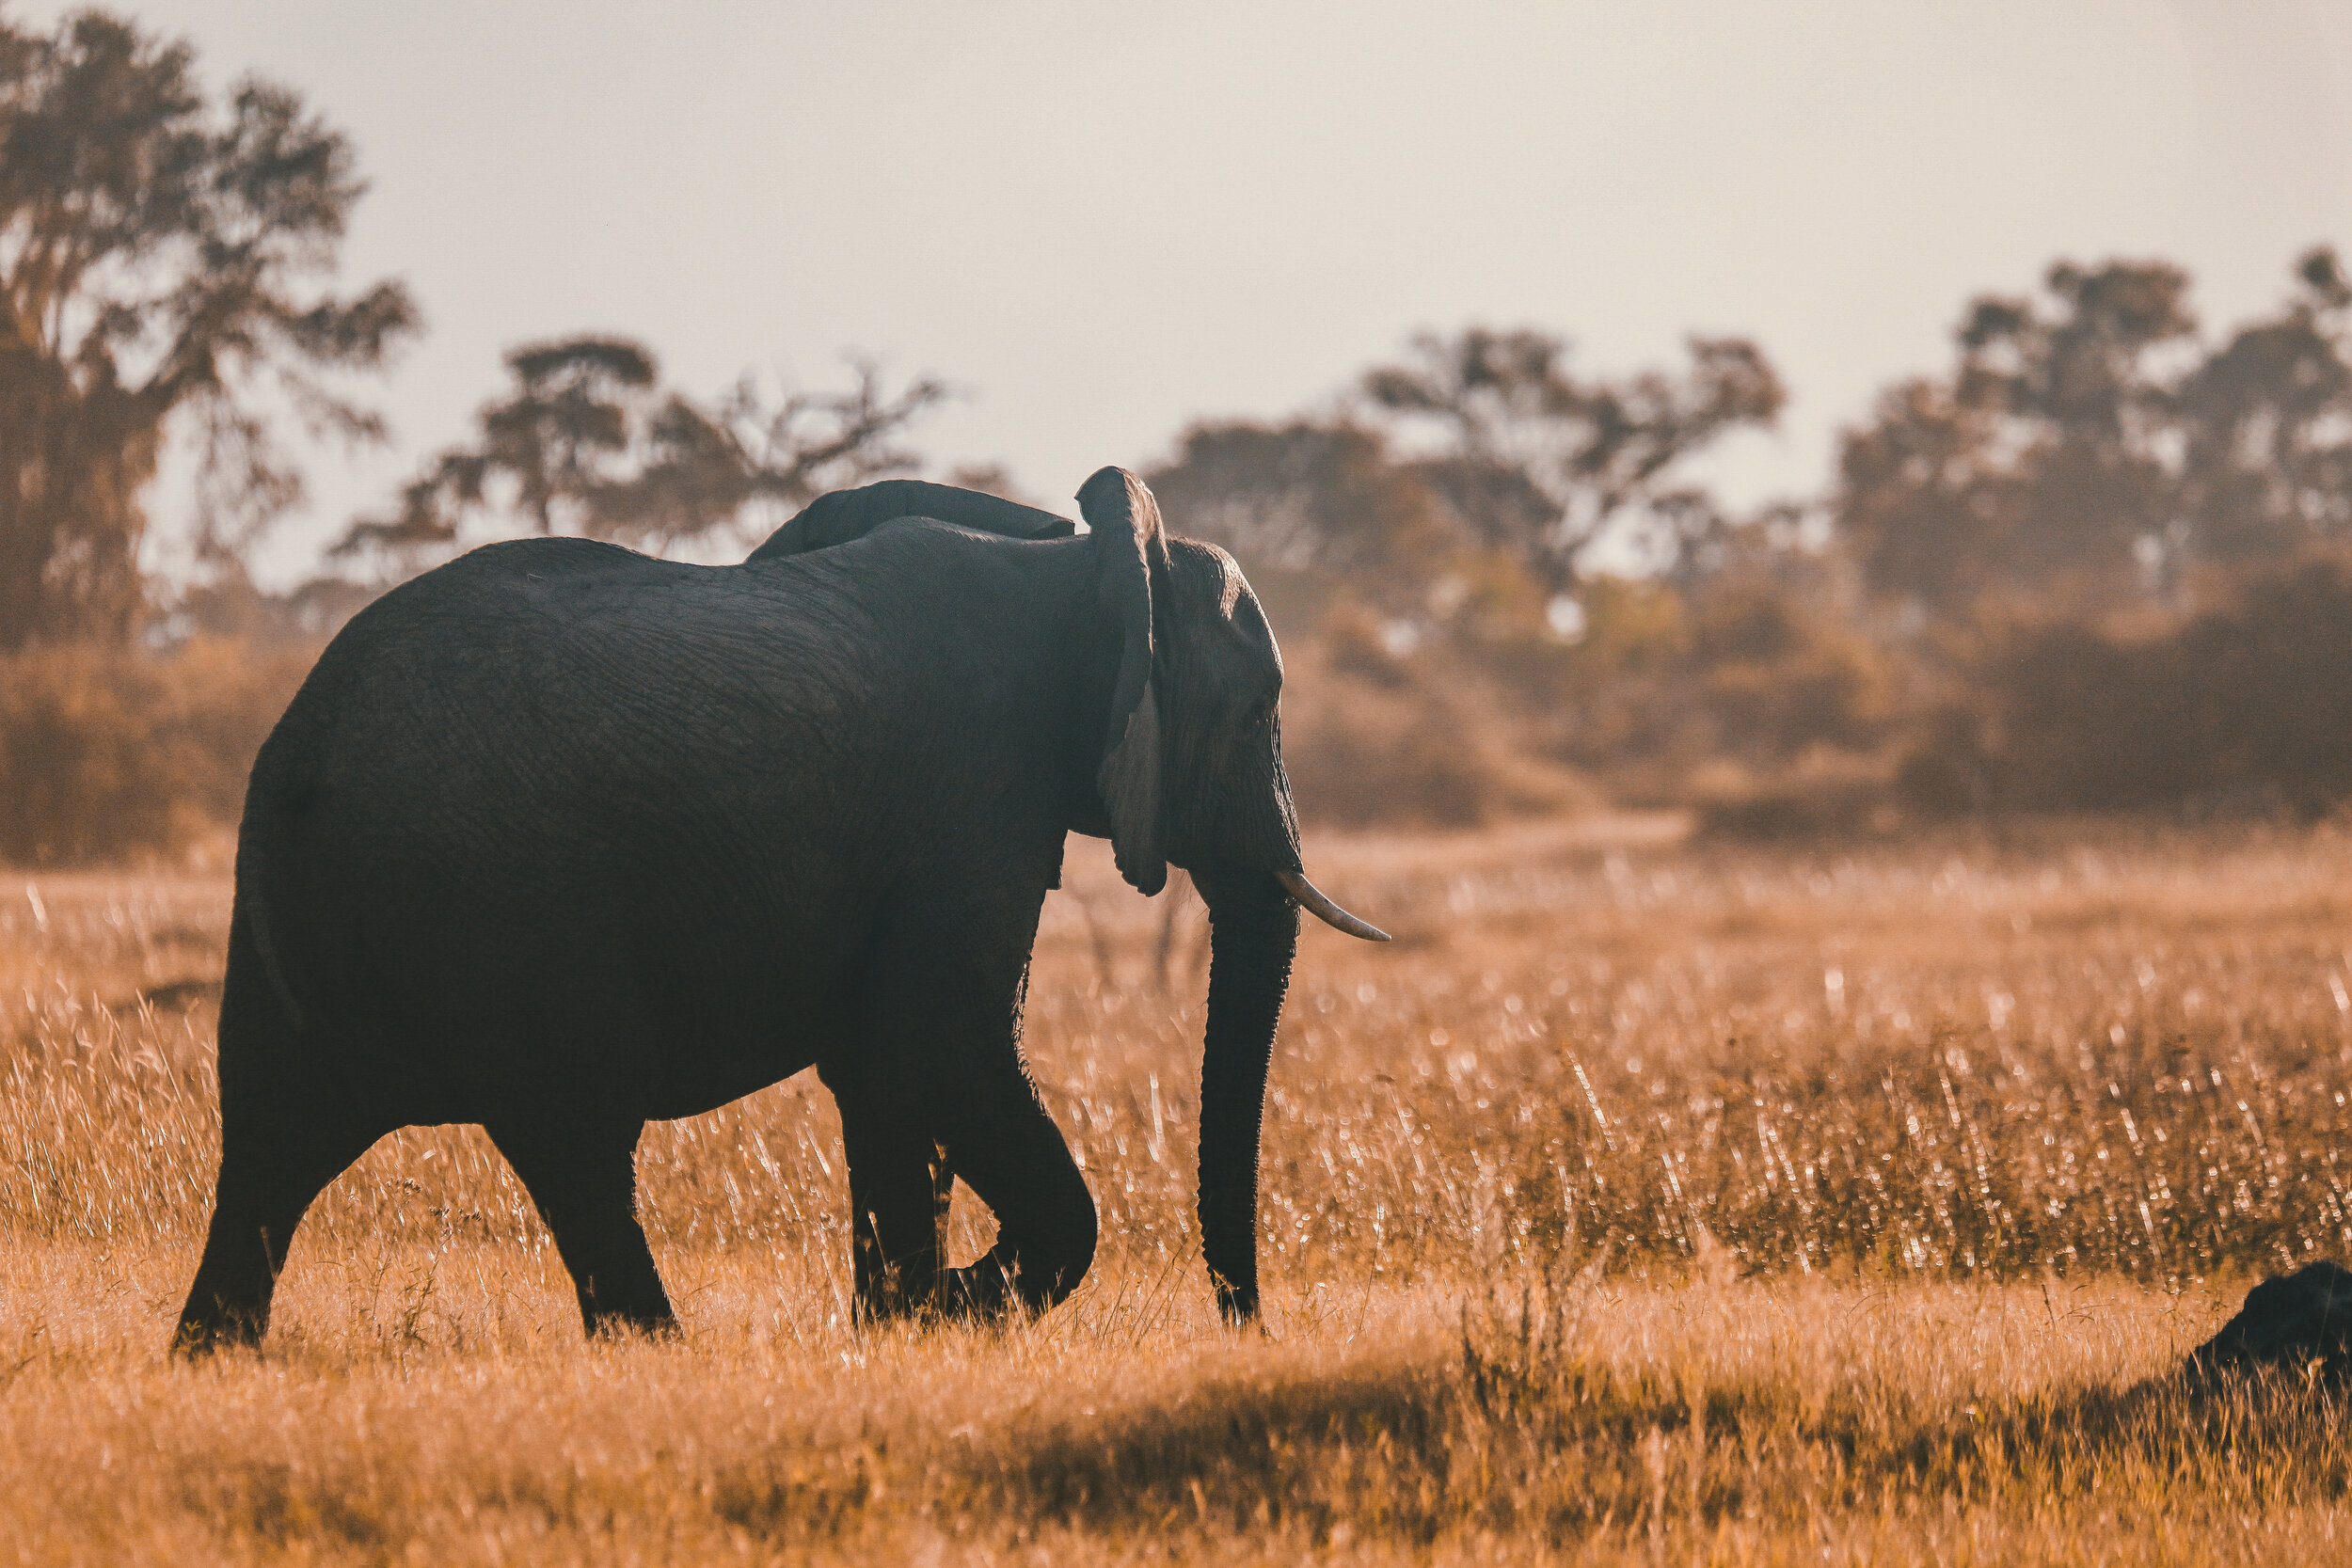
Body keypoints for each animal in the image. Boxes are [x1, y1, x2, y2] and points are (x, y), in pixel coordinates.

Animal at [174, 463, 1383, 1354]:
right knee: (576, 1144)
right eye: (1258, 709)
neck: (1074, 560)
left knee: (273, 1141)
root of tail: (302, 750)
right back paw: (658, 1350)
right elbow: (932, 1045)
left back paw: (213, 1356)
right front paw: (940, 1307)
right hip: (501, 912)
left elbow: (884, 1071)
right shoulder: (971, 793)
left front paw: (898, 1320)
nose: (1244, 1326)